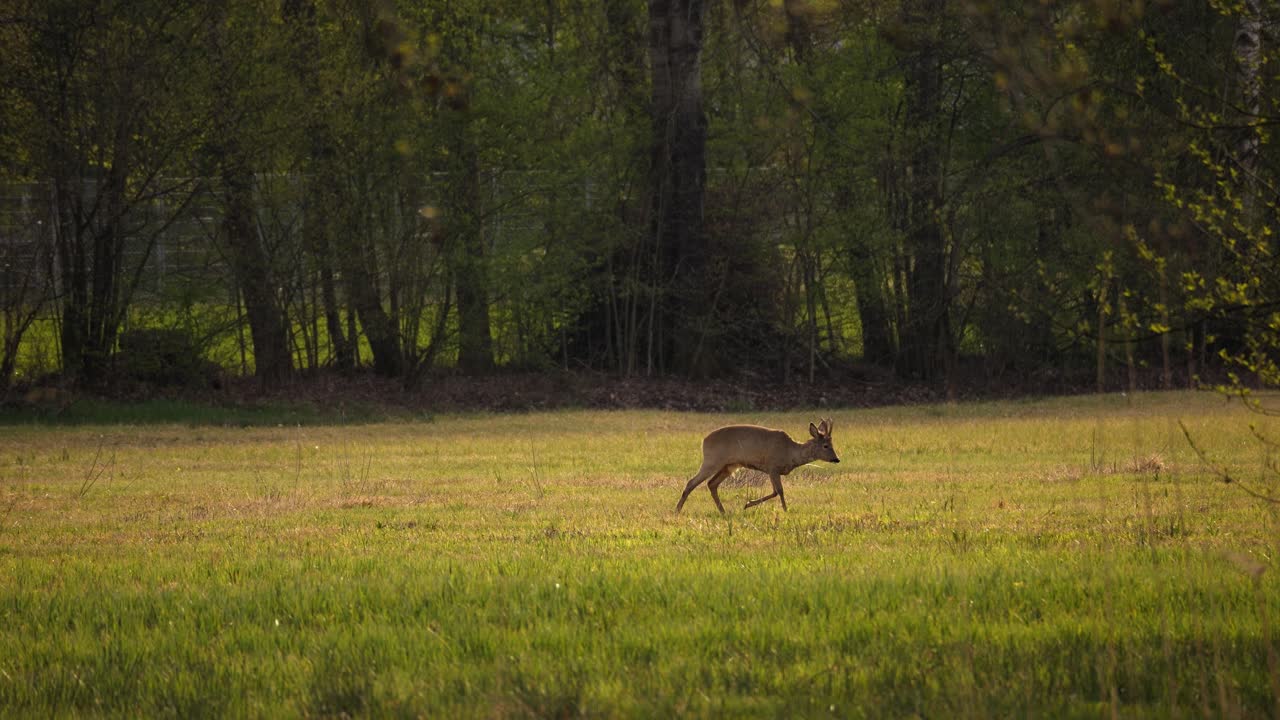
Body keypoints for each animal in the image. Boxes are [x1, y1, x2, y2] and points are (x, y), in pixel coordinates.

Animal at [675, 418, 840, 515]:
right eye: (825, 446)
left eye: (832, 444)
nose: (836, 459)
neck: (790, 453)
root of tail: (704, 440)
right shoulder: (772, 466)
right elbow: (779, 491)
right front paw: (786, 511)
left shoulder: (772, 470)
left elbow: (774, 492)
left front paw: (747, 504)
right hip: (712, 460)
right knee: (692, 482)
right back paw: (677, 511)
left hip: (728, 466)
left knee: (711, 483)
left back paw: (723, 512)